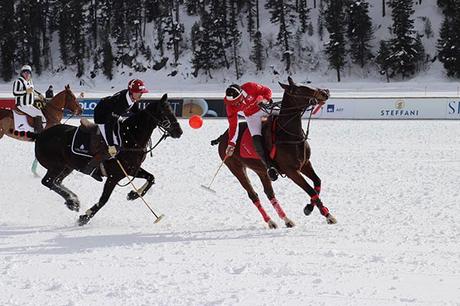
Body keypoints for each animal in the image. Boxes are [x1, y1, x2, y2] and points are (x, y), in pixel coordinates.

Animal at [34, 94, 182, 226]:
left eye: (172, 110)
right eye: (163, 112)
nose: (179, 132)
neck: (131, 139)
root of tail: (39, 135)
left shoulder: (131, 170)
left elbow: (151, 178)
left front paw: (133, 194)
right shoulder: (113, 176)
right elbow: (104, 199)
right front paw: (84, 218)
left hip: (67, 167)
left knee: (57, 181)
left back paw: (73, 200)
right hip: (56, 166)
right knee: (47, 181)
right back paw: (72, 201)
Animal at [213, 77, 338, 230]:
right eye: (298, 90)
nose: (325, 92)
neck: (289, 134)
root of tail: (224, 136)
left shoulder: (305, 164)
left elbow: (317, 182)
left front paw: (309, 208)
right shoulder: (291, 171)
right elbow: (311, 190)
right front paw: (327, 215)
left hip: (261, 170)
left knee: (269, 193)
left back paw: (286, 220)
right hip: (236, 168)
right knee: (253, 195)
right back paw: (271, 221)